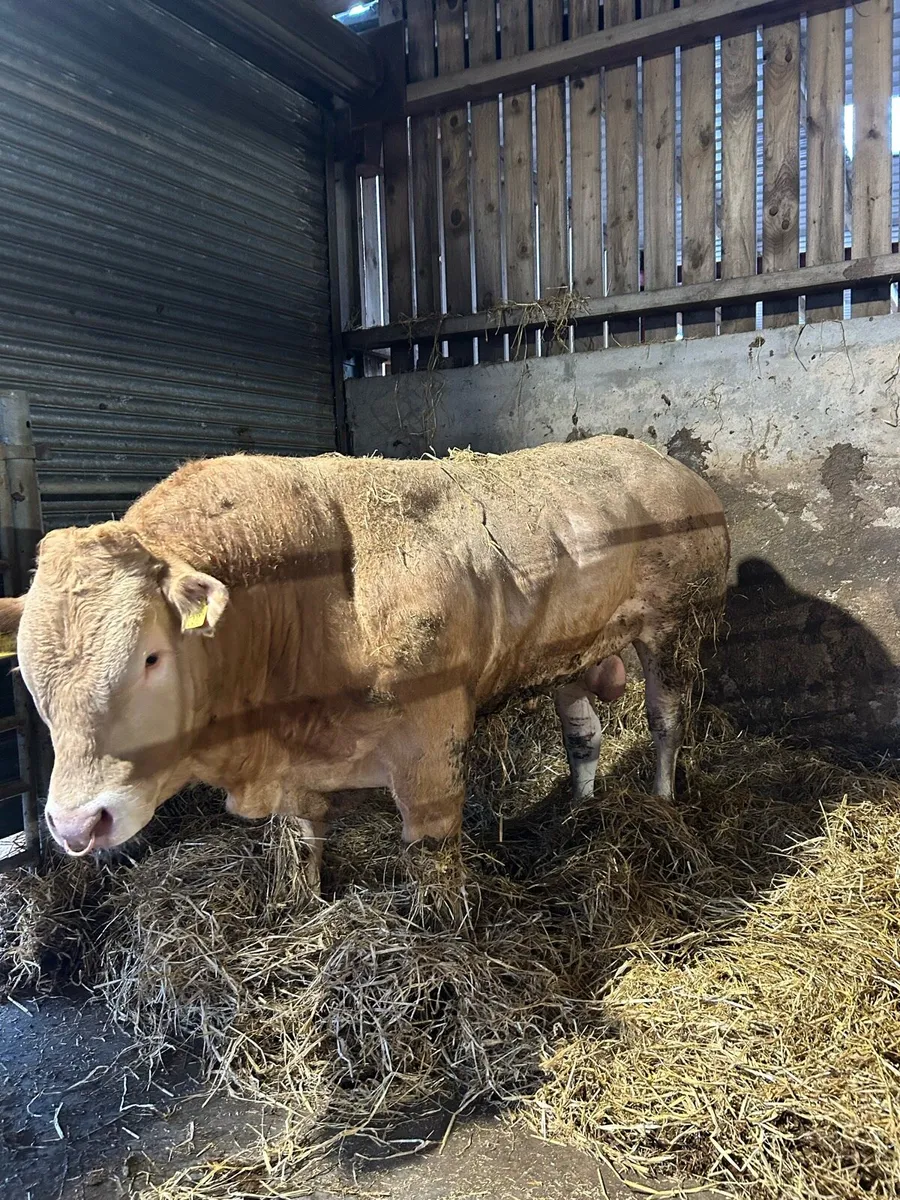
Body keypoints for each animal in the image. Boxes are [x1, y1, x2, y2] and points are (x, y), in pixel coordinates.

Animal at [0, 437, 728, 876]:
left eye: (150, 657)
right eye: (29, 678)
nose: (75, 823)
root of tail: (666, 463)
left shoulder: (433, 747)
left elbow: (431, 858)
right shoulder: (296, 772)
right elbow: (305, 844)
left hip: (677, 625)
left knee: (666, 719)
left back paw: (663, 803)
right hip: (570, 652)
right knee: (584, 736)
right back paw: (579, 810)